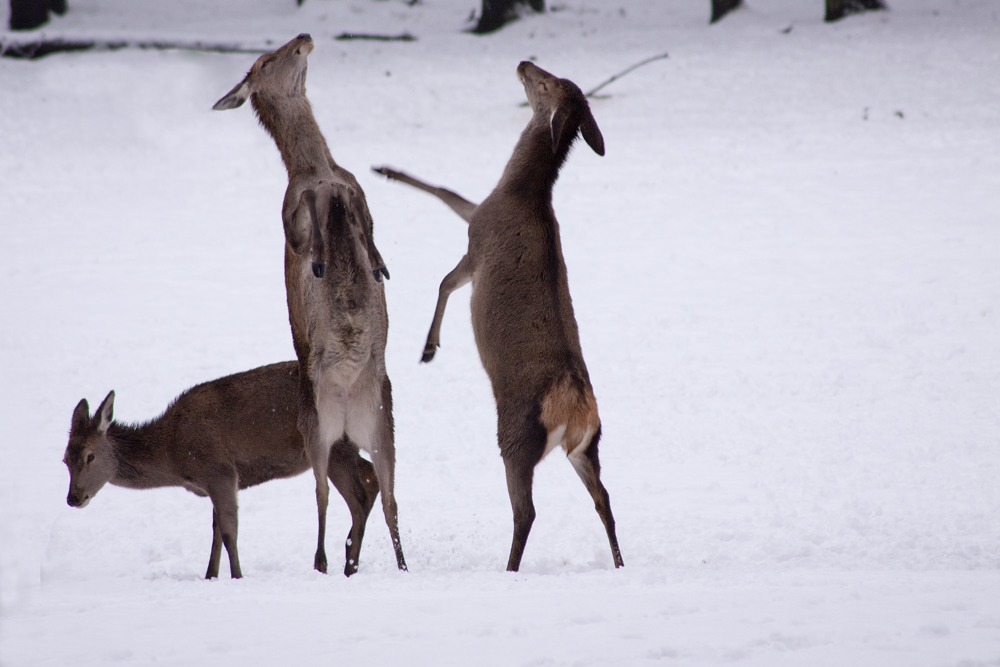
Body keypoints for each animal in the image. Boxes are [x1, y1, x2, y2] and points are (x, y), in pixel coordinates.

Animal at [215, 32, 406, 576]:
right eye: (264, 60)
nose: (303, 38)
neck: (318, 170)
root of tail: (345, 418)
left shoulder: (356, 193)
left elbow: (369, 231)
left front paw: (379, 265)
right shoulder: (291, 215)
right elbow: (310, 234)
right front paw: (322, 259)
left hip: (381, 420)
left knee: (388, 496)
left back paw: (400, 564)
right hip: (314, 426)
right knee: (321, 495)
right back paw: (322, 560)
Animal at [376, 62, 624, 572]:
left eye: (545, 83)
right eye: (555, 74)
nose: (525, 63)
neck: (519, 192)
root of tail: (575, 406)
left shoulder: (478, 240)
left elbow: (444, 270)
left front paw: (428, 348)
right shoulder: (478, 218)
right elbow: (448, 194)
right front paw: (387, 169)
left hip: (515, 435)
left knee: (526, 509)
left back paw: (507, 568)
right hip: (589, 446)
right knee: (605, 500)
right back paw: (619, 561)